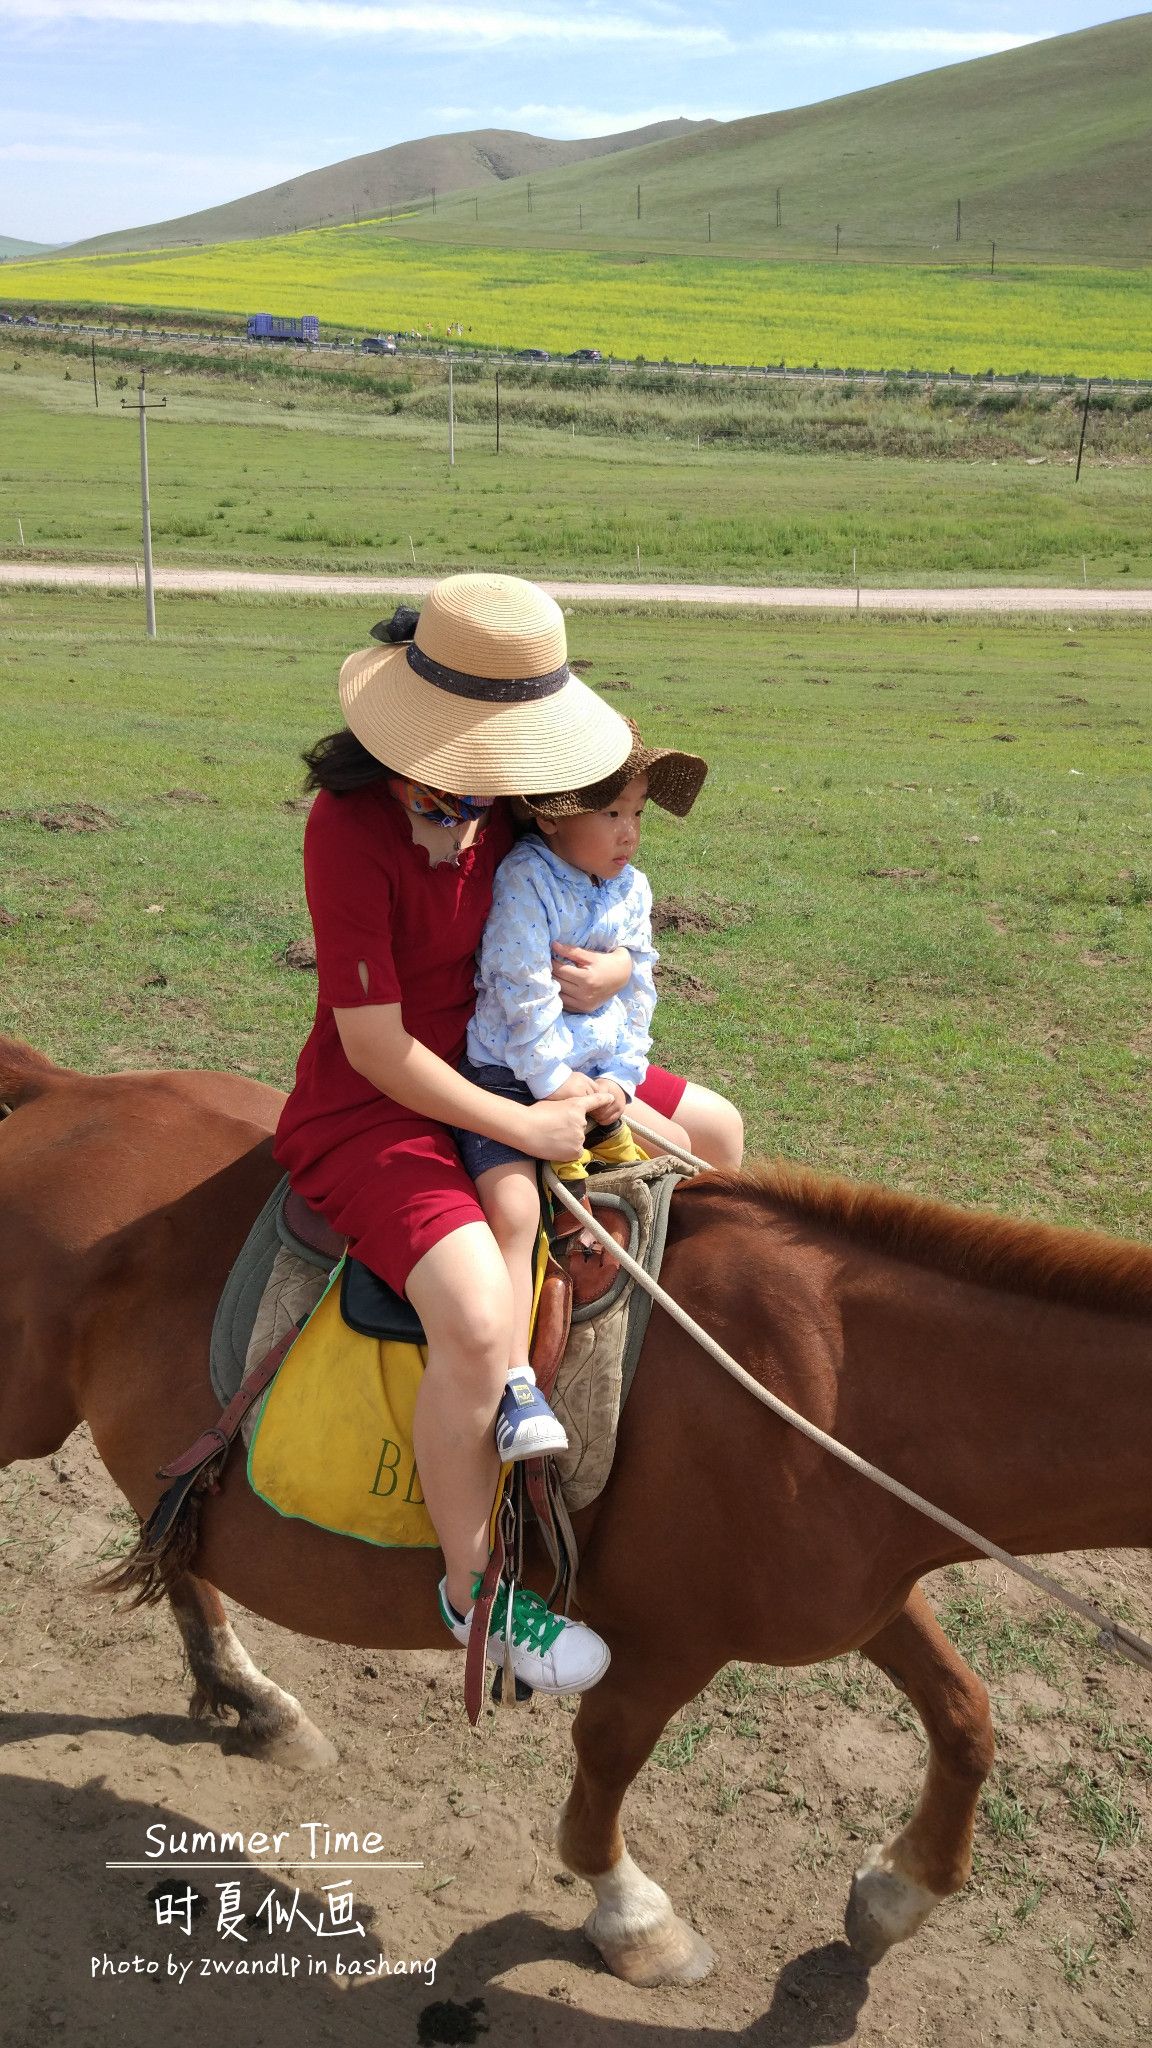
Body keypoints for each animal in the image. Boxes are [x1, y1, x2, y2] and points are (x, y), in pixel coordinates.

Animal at [2, 1040, 1147, 1982]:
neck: (834, 1383)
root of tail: (66, 1091)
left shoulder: (870, 1594)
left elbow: (966, 1717)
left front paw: (892, 1895)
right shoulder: (666, 1644)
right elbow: (602, 1771)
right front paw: (638, 1922)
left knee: (180, 1543)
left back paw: (252, 1697)